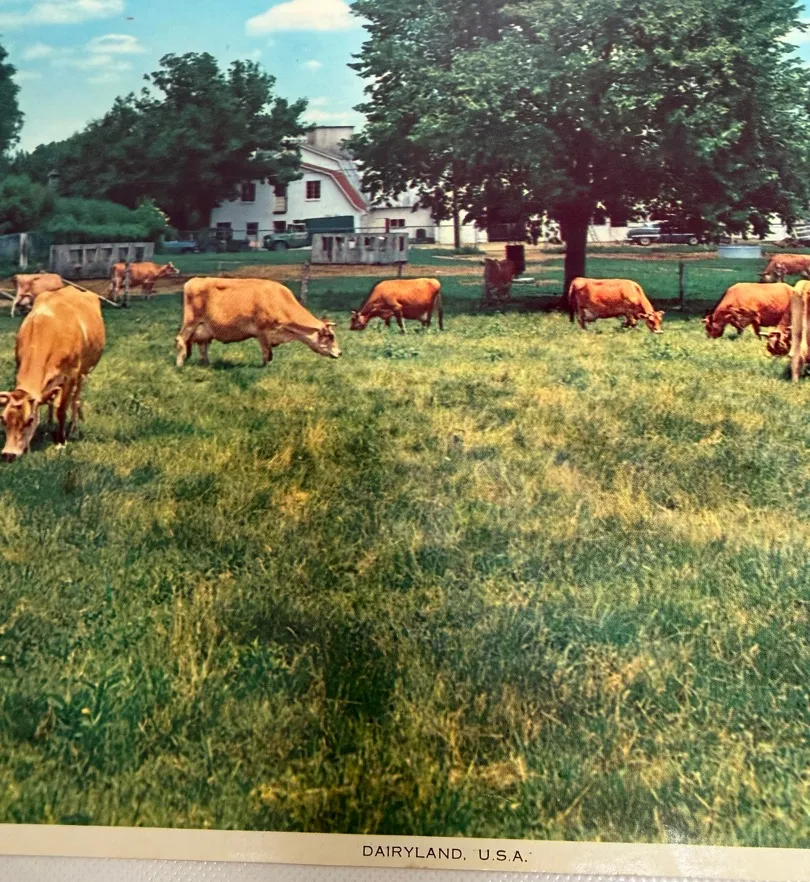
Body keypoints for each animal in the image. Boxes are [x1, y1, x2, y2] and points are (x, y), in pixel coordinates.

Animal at [0, 287, 105, 460]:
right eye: (3, 419)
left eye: (29, 420)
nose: (9, 454)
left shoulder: (70, 376)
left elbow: (61, 410)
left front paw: (61, 442)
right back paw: (50, 422)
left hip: (83, 372)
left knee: (76, 399)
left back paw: (73, 427)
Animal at [175, 277, 341, 368]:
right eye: (330, 336)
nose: (340, 352)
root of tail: (194, 280)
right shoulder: (263, 333)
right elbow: (267, 353)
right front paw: (266, 367)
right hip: (190, 323)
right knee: (180, 340)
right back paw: (179, 364)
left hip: (204, 330)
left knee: (203, 347)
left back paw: (207, 364)